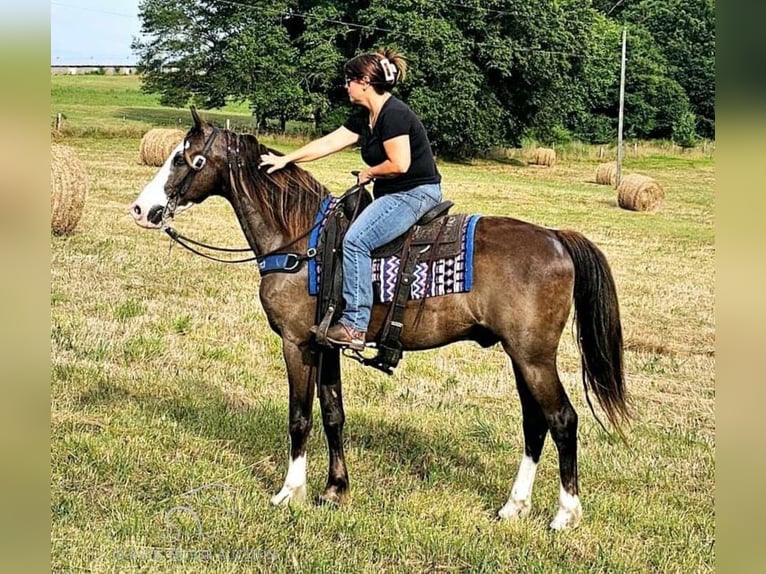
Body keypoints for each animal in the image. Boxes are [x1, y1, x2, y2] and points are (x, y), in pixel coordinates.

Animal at [130, 108, 632, 532]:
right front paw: (335, 489)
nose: (141, 209)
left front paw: (290, 492)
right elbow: (333, 414)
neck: (301, 241)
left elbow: (299, 417)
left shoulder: (297, 343)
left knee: (562, 420)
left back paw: (565, 515)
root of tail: (556, 238)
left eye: (185, 158)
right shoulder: (326, 343)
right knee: (535, 424)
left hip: (533, 357)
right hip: (521, 357)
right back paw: (514, 506)